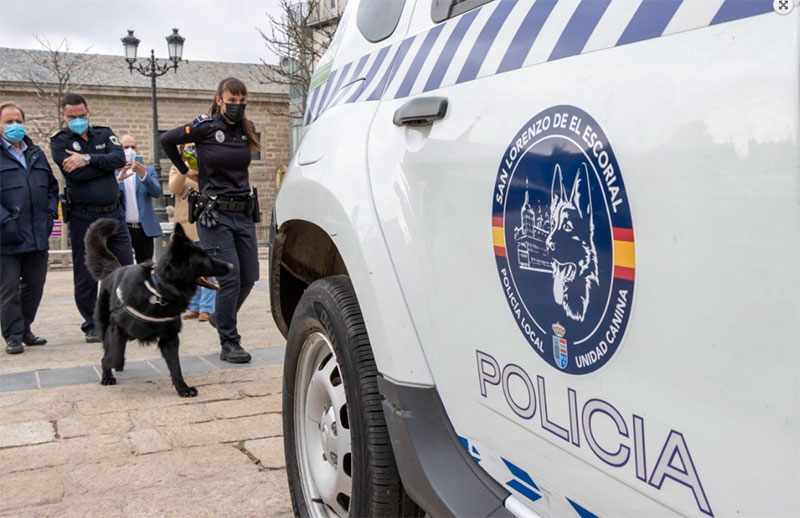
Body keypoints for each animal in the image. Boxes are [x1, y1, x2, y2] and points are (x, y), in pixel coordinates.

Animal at [84, 218, 231, 398]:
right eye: (204, 259)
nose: (231, 266)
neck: (159, 291)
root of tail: (113, 270)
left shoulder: (170, 337)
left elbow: (175, 366)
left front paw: (182, 388)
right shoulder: (116, 327)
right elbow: (113, 355)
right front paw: (109, 364)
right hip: (107, 326)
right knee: (111, 348)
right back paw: (108, 375)